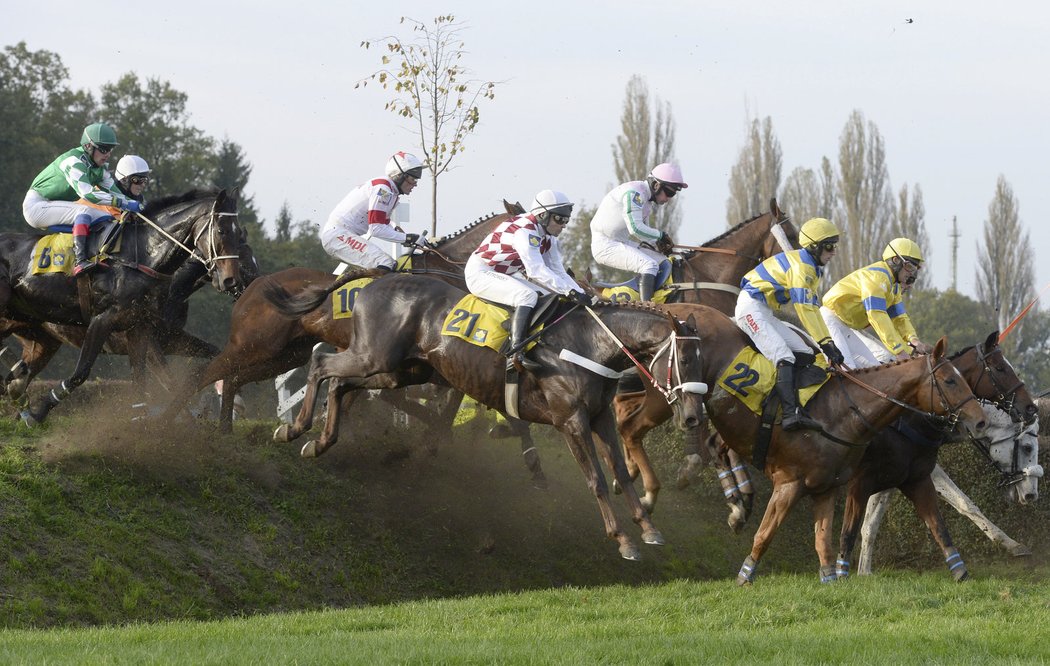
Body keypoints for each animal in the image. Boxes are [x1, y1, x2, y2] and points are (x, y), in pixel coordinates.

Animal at [0, 189, 240, 422]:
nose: (231, 280)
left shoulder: (139, 326)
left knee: (22, 368)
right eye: (222, 231)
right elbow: (81, 372)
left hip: (39, 337)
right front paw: (41, 411)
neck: (141, 255)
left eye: (240, 234)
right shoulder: (104, 320)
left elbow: (141, 379)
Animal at [264, 271, 705, 558]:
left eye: (703, 359)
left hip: (401, 370)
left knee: (340, 383)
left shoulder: (600, 419)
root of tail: (376, 281)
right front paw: (623, 539)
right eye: (684, 358)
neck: (589, 343)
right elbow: (596, 480)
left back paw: (318, 442)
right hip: (374, 356)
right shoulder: (571, 421)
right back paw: (294, 429)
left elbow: (620, 475)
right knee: (321, 364)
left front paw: (648, 528)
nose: (693, 416)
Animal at [634, 300, 986, 579]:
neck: (844, 411)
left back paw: (735, 504)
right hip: (678, 394)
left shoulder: (852, 484)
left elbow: (935, 527)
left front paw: (961, 572)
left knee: (716, 447)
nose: (980, 420)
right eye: (950, 381)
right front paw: (745, 576)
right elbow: (777, 535)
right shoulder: (799, 484)